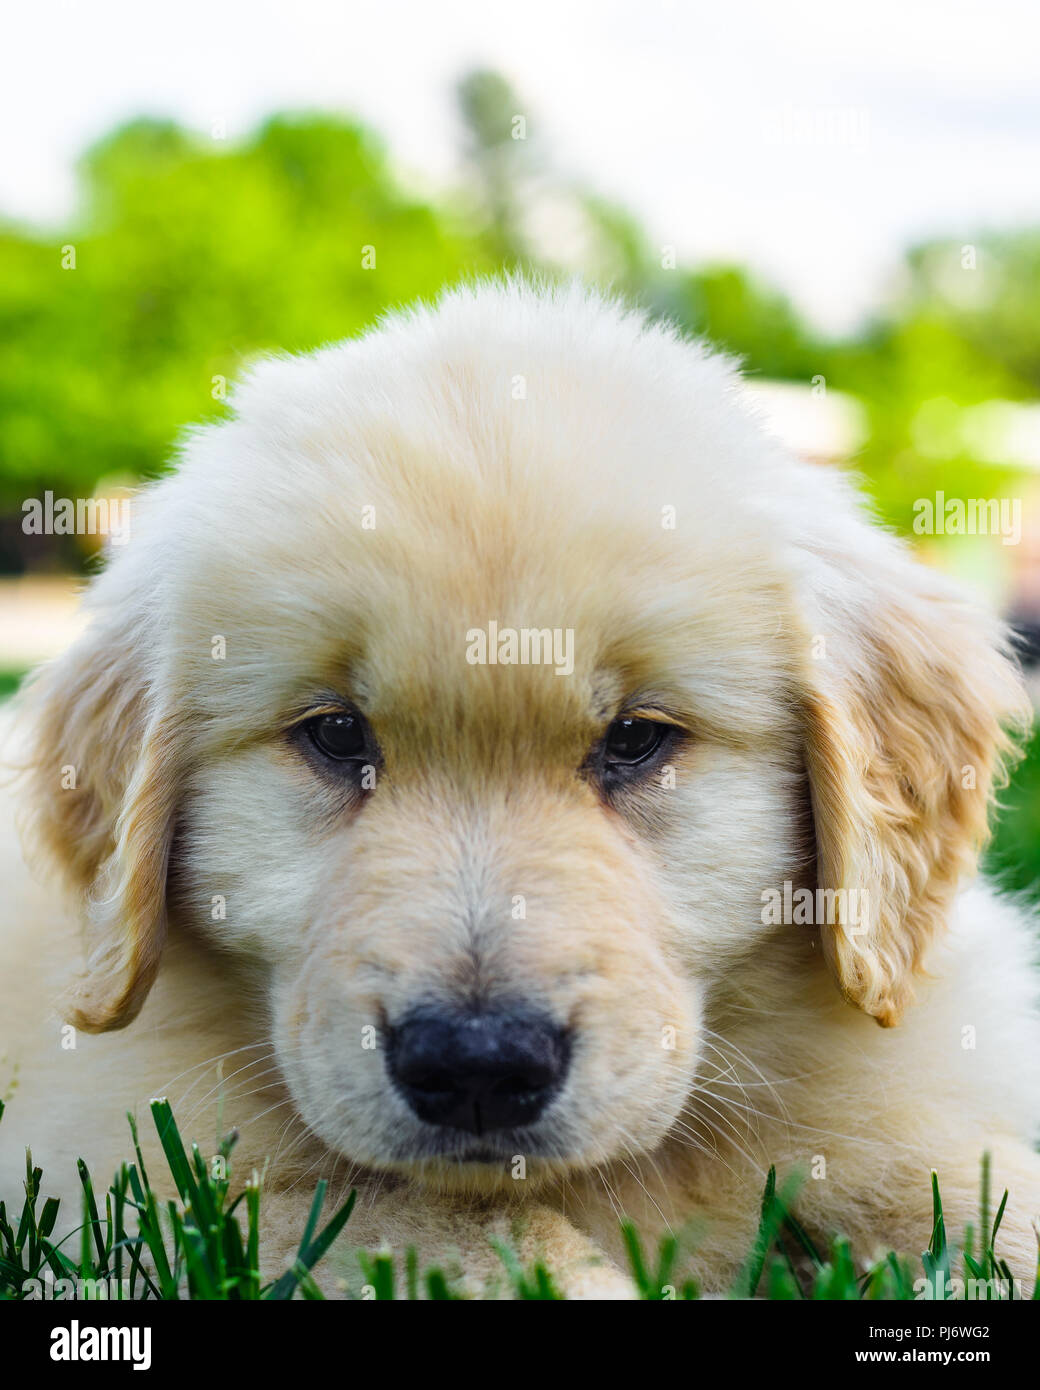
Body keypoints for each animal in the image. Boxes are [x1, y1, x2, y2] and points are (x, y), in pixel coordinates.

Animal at [2, 276, 1040, 1295]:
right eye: (335, 735)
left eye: (636, 739)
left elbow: (963, 1182)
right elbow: (453, 1234)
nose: (477, 1066)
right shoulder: (171, 1186)